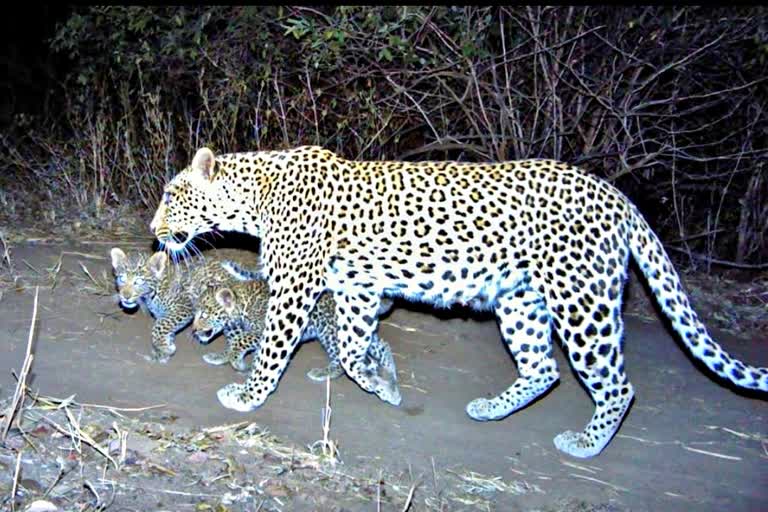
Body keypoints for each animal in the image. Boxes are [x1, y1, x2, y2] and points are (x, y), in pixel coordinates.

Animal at [147, 146, 764, 458]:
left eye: (173, 195)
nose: (153, 231)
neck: (254, 197)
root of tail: (617, 195)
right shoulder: (359, 288)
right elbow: (352, 348)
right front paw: (383, 383)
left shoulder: (298, 285)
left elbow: (278, 345)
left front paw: (248, 396)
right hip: (520, 300)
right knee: (542, 369)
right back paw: (491, 409)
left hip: (581, 299)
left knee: (616, 384)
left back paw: (586, 444)